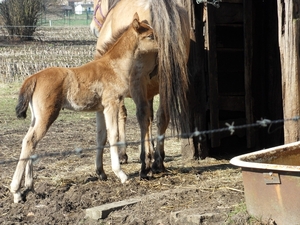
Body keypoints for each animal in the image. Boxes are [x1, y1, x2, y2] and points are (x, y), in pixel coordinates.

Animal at [9, 14, 157, 203]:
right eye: (150, 36)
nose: (161, 45)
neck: (113, 66)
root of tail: (33, 77)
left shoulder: (100, 109)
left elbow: (101, 137)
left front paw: (101, 173)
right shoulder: (112, 103)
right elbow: (114, 135)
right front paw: (121, 174)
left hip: (36, 117)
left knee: (29, 140)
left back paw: (29, 186)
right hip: (47, 115)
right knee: (30, 141)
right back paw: (16, 191)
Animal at [90, 0, 191, 179]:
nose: (93, 28)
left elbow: (121, 117)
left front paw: (123, 154)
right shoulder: (149, 90)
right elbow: (151, 118)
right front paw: (151, 151)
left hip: (138, 81)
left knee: (142, 115)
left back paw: (145, 166)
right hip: (165, 81)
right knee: (162, 115)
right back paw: (157, 162)